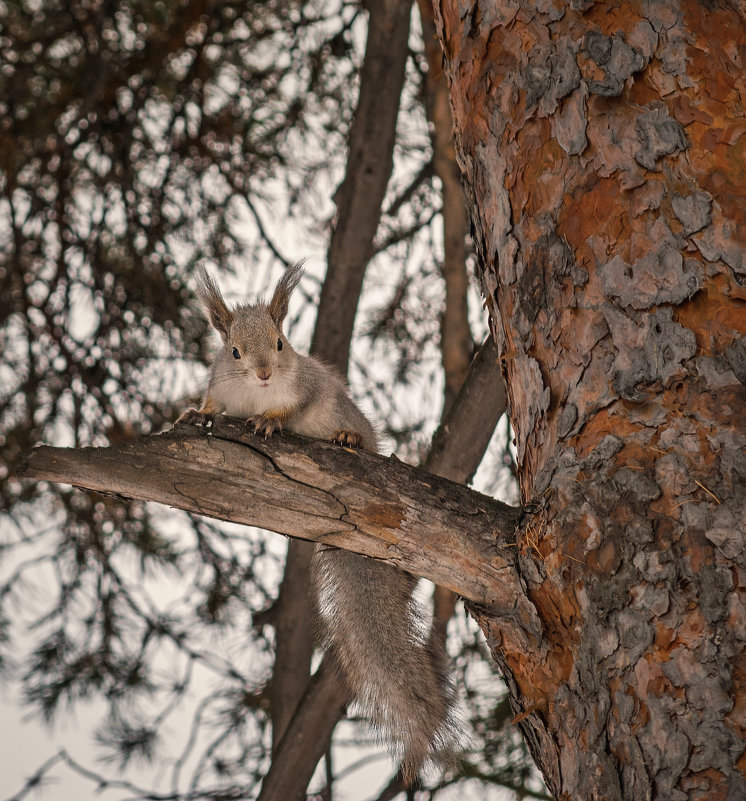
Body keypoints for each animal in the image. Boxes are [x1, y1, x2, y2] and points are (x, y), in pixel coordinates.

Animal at [182, 264, 456, 780]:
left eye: (281, 342)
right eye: (234, 351)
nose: (265, 374)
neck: (254, 393)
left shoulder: (308, 386)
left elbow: (292, 408)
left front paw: (270, 420)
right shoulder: (221, 383)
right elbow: (211, 404)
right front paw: (195, 411)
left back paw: (349, 437)